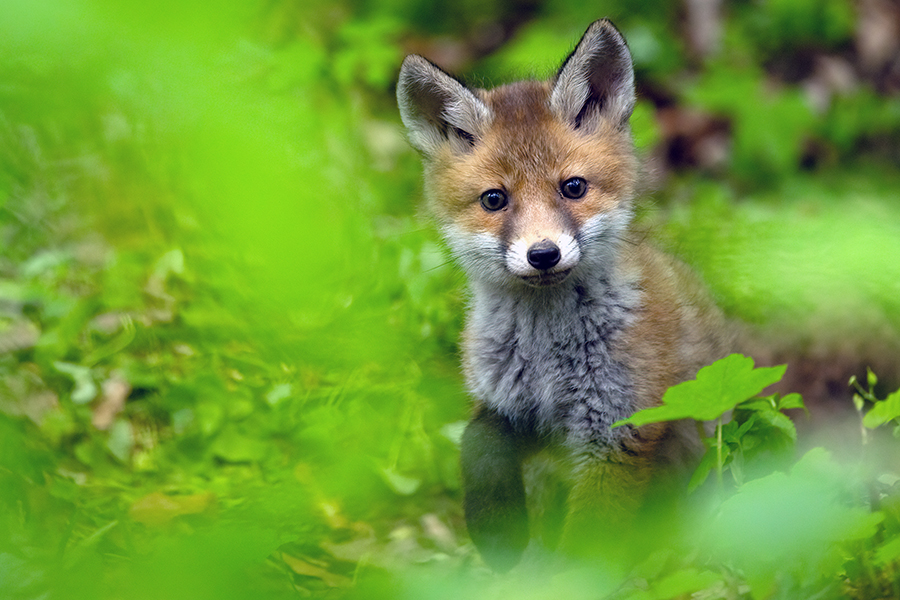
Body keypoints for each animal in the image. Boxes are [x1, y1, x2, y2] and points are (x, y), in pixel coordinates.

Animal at [397, 20, 732, 571]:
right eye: (494, 199)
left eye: (573, 187)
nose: (543, 254)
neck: (546, 356)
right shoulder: (513, 408)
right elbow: (476, 439)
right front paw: (498, 532)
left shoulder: (618, 430)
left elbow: (584, 550)